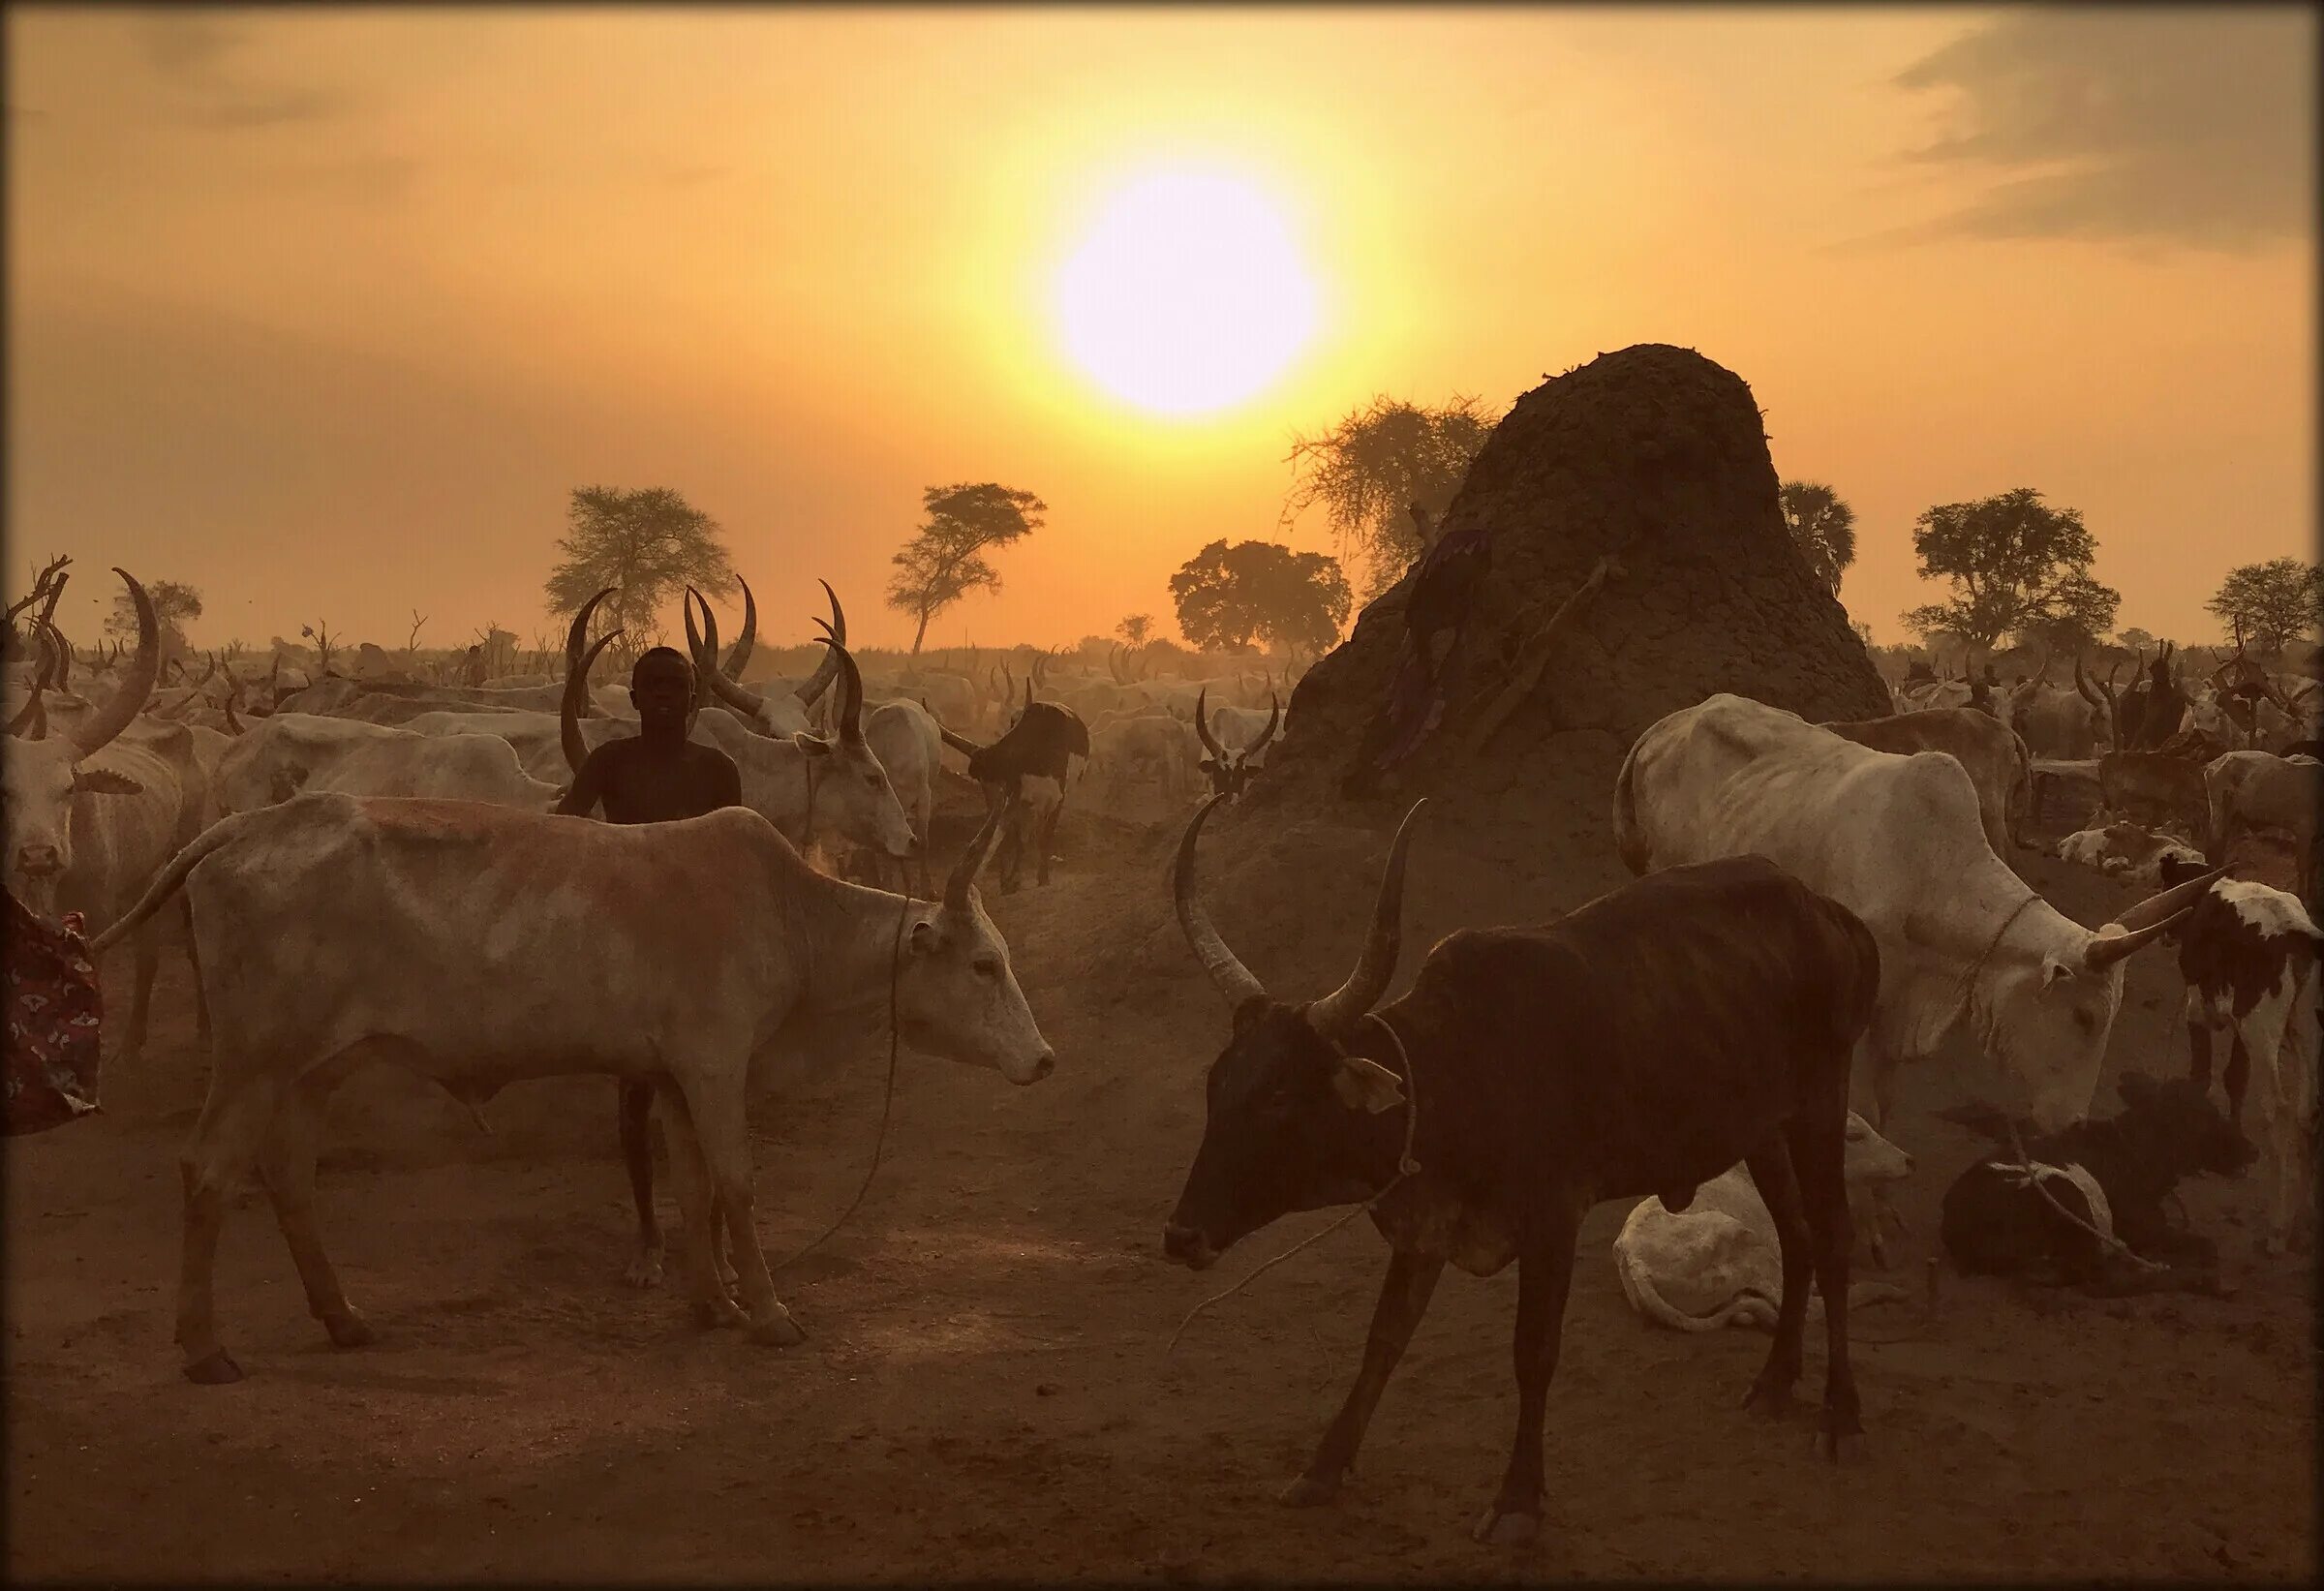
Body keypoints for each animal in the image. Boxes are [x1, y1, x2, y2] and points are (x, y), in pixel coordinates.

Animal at [88, 789, 1055, 1374]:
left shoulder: (675, 1075)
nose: (1044, 1059)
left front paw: (713, 1299)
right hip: (252, 1059)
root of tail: (248, 824)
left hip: (312, 1070)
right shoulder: (715, 1064)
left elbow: (696, 1188)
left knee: (289, 1178)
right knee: (209, 1172)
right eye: (983, 964)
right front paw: (770, 1310)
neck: (793, 916)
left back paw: (345, 1316)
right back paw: (204, 1347)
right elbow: (738, 1185)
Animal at [1607, 1110, 1914, 1337]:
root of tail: (1635, 1265)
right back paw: (1891, 1292)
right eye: (1854, 1135)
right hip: (1749, 1244)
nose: (1909, 1161)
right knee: (1805, 1308)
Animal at [1942, 1068, 2249, 1291]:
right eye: (2210, 1117)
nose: (2253, 1150)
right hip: (2067, 1195)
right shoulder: (2145, 1227)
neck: (2138, 1154)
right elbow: (2207, 1247)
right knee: (2101, 1279)